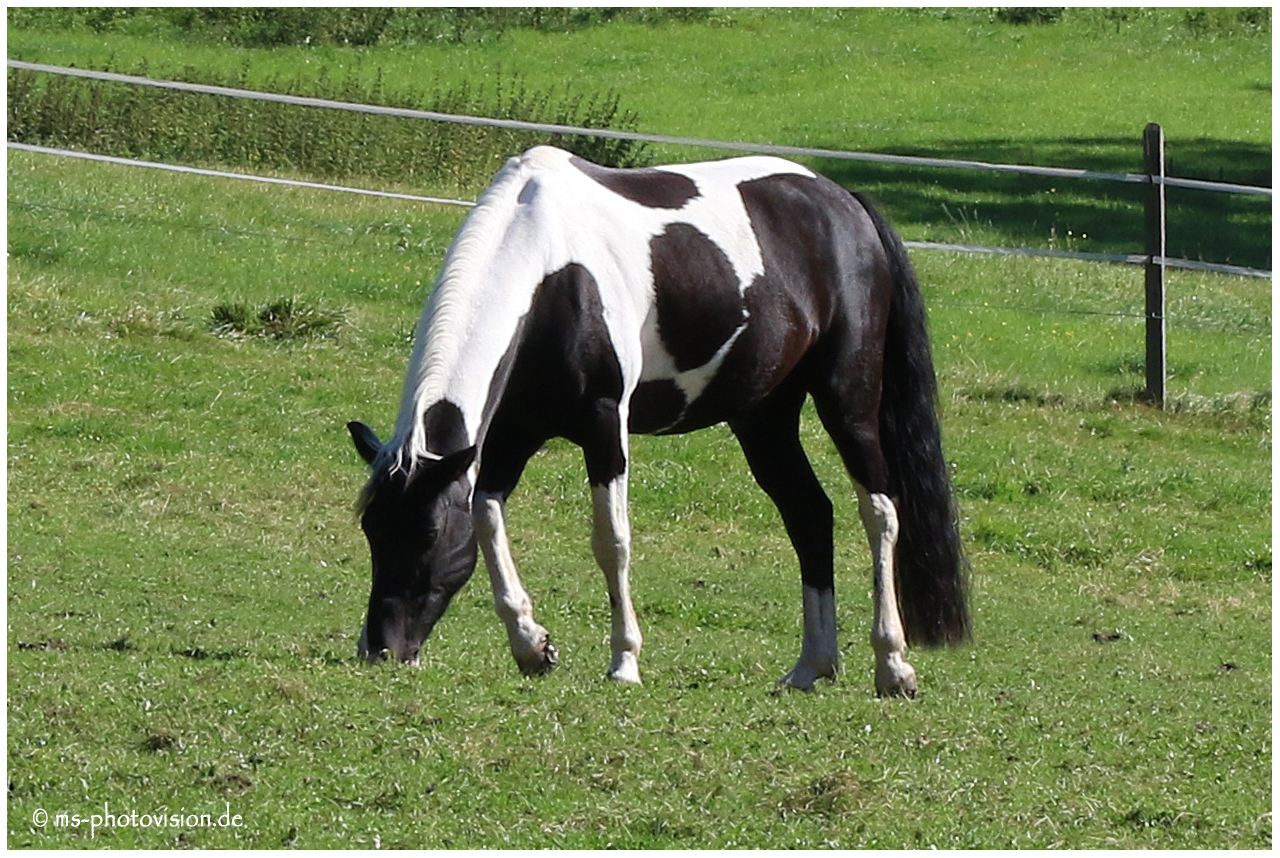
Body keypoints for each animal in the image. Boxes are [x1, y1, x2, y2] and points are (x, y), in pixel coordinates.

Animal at [345, 144, 962, 696]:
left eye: (427, 533)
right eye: (371, 527)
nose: (380, 648)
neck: (549, 270)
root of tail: (845, 202)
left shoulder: (603, 427)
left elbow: (611, 541)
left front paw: (624, 661)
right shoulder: (512, 434)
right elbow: (485, 516)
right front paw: (532, 646)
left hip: (847, 400)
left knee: (879, 512)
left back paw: (893, 667)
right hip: (763, 418)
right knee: (809, 516)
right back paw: (813, 666)